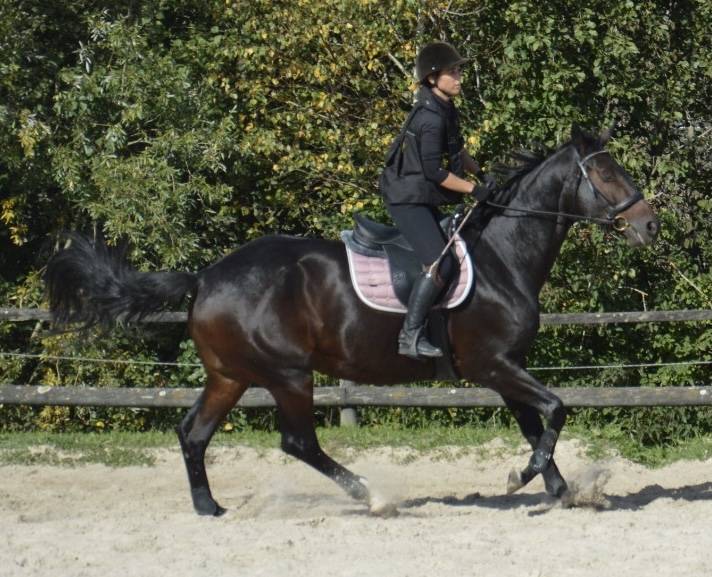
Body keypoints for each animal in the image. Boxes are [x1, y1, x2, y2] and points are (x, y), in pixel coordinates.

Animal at [45, 125, 659, 516]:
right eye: (605, 174)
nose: (649, 225)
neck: (501, 258)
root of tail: (207, 276)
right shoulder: (492, 365)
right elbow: (555, 410)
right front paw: (525, 478)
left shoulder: (508, 367)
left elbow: (539, 424)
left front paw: (560, 489)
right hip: (288, 374)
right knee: (298, 442)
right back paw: (371, 497)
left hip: (230, 375)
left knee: (193, 433)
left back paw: (209, 507)